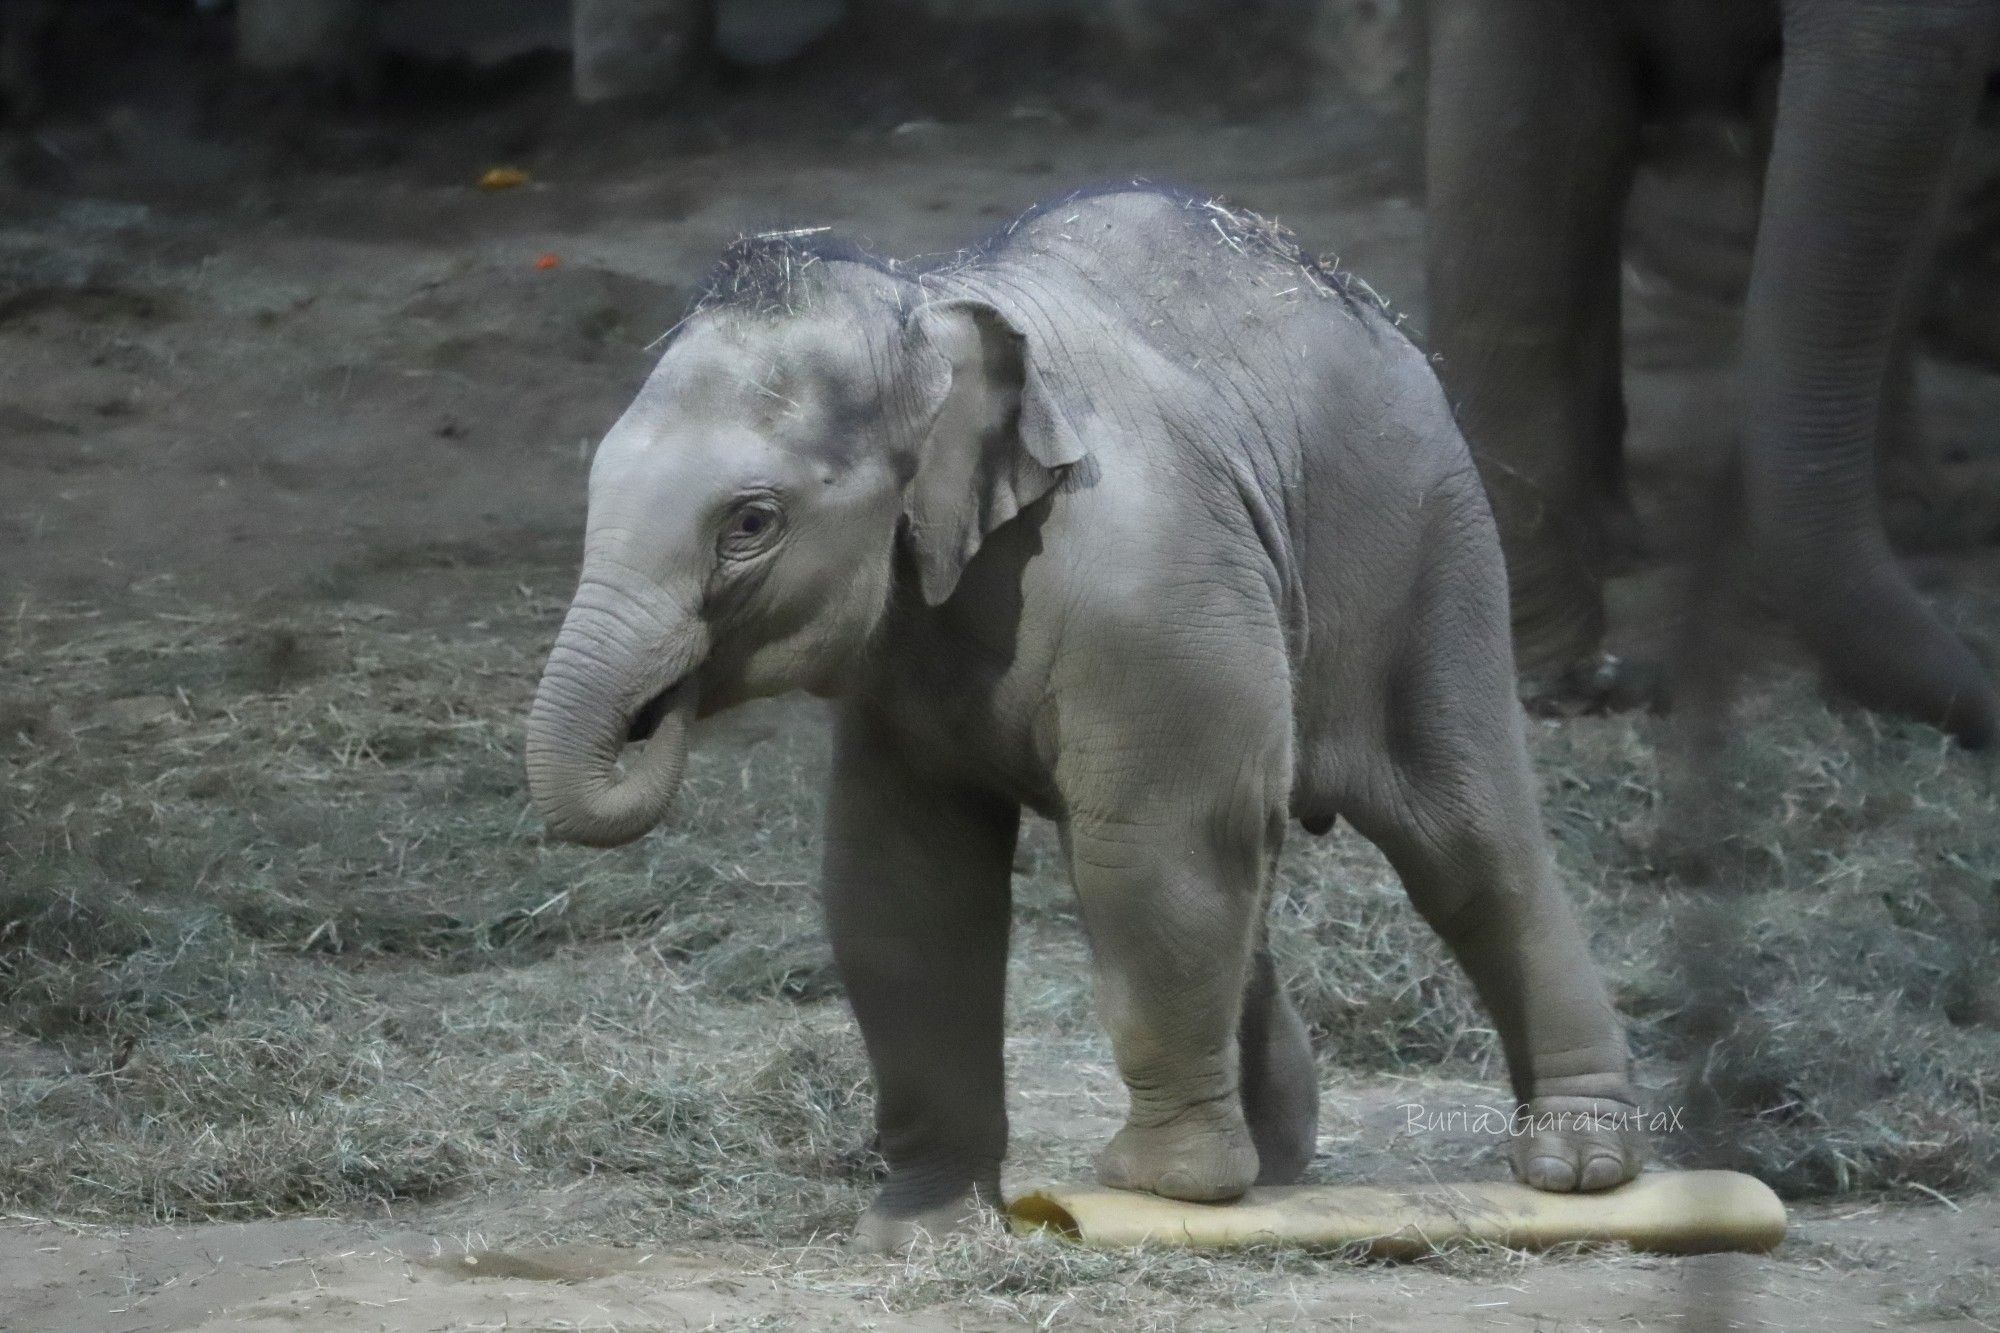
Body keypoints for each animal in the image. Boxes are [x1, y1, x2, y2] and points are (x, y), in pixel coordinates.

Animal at [524, 187, 1648, 1248]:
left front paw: (1157, 1188)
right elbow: (902, 884)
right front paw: (922, 1229)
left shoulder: (1146, 582)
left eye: (750, 522)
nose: (655, 709)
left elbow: (1149, 849)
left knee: (1464, 839)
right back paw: (1275, 1166)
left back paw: (1577, 1170)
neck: (927, 306)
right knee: (1259, 854)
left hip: (1424, 545)